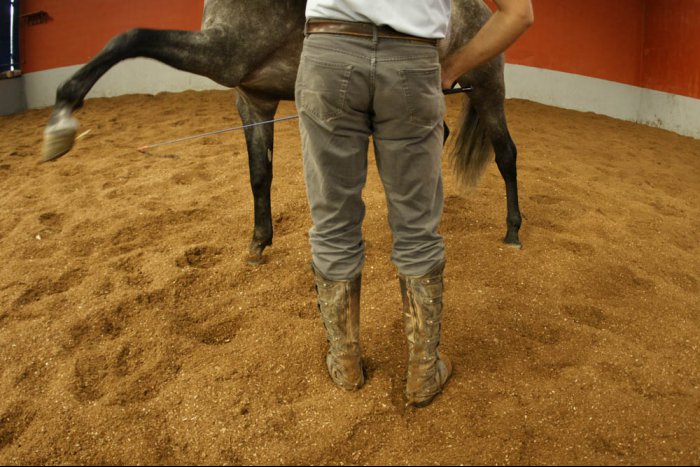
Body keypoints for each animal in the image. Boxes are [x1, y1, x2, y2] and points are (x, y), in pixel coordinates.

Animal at [42, 0, 520, 264]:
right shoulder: (253, 100)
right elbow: (259, 174)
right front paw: (258, 243)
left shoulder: (224, 54)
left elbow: (130, 35)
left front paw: (62, 117)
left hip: (486, 90)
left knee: (506, 155)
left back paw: (513, 232)